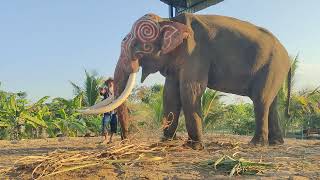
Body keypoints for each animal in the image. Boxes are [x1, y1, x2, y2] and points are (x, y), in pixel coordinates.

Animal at [81, 13, 292, 150]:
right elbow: (170, 94)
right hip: (274, 70)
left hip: (272, 66)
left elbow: (190, 90)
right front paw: (165, 141)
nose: (126, 141)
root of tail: (287, 56)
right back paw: (276, 143)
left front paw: (195, 146)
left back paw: (256, 144)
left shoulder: (195, 52)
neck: (170, 21)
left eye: (140, 46)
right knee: (271, 103)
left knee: (261, 101)